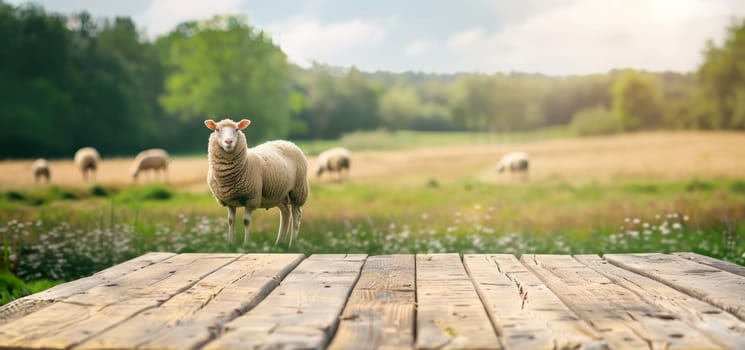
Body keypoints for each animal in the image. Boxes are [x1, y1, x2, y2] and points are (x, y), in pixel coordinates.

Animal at [203, 119, 308, 247]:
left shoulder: (251, 198)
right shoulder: (230, 201)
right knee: (285, 213)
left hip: (297, 191)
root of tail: (287, 142)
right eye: (217, 129)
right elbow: (231, 221)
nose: (228, 141)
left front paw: (246, 244)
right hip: (279, 194)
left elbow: (246, 222)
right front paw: (230, 244)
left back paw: (292, 244)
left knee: (296, 217)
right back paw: (279, 244)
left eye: (237, 129)